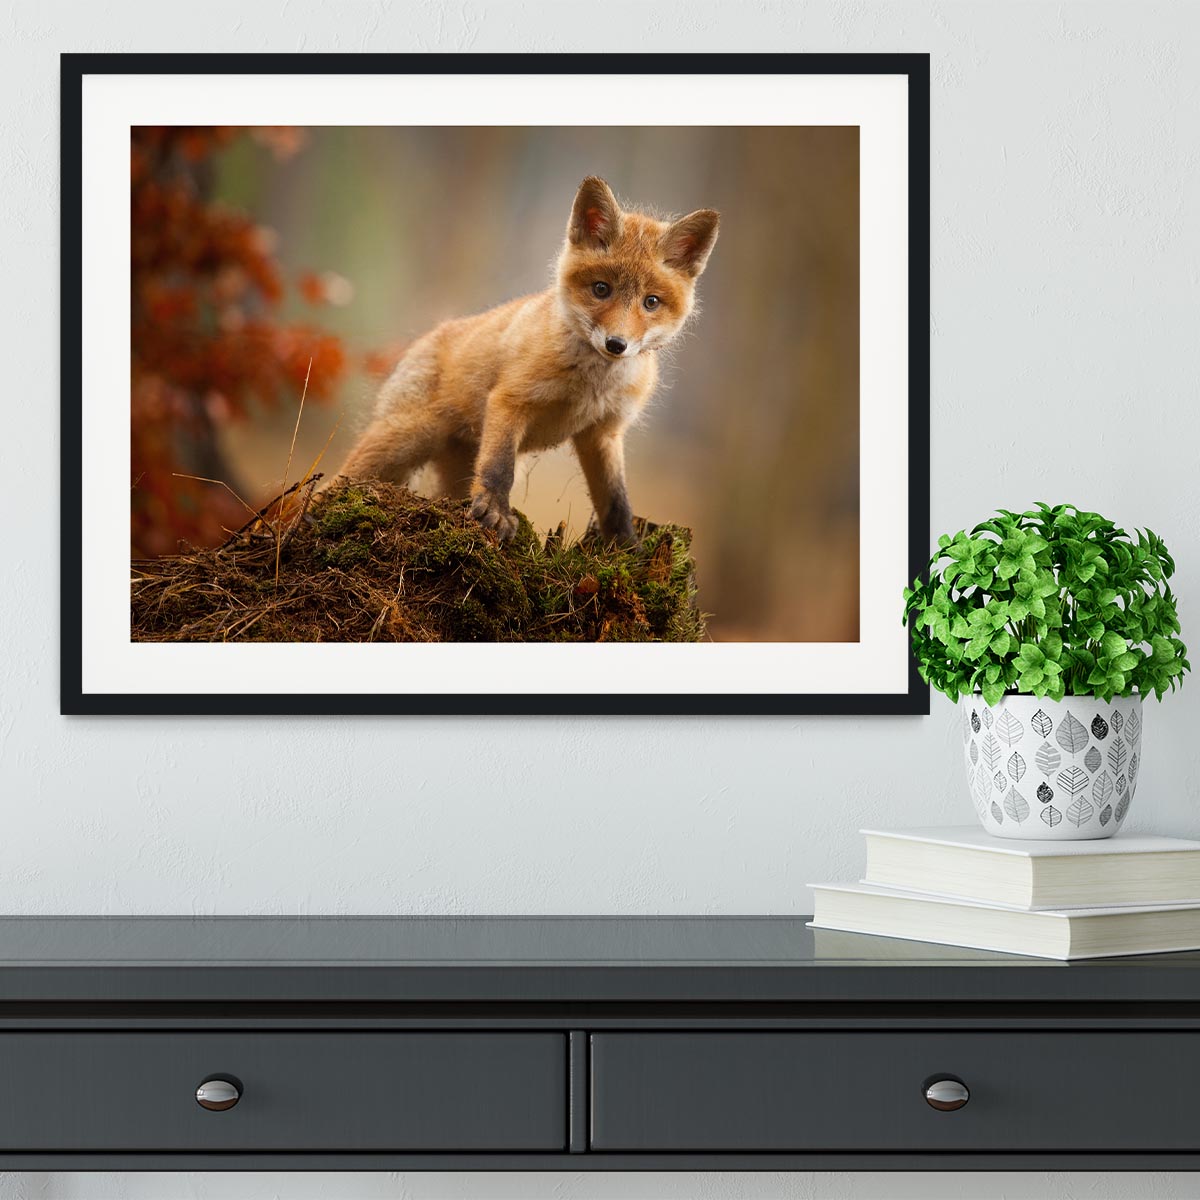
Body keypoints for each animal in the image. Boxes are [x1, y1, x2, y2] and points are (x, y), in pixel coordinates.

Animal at [335, 176, 719, 545]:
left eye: (651, 302)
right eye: (601, 289)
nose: (616, 344)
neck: (591, 385)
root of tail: (427, 336)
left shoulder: (603, 432)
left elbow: (616, 502)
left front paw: (627, 549)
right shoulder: (511, 400)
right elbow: (500, 468)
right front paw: (495, 513)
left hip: (453, 467)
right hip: (402, 440)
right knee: (337, 481)